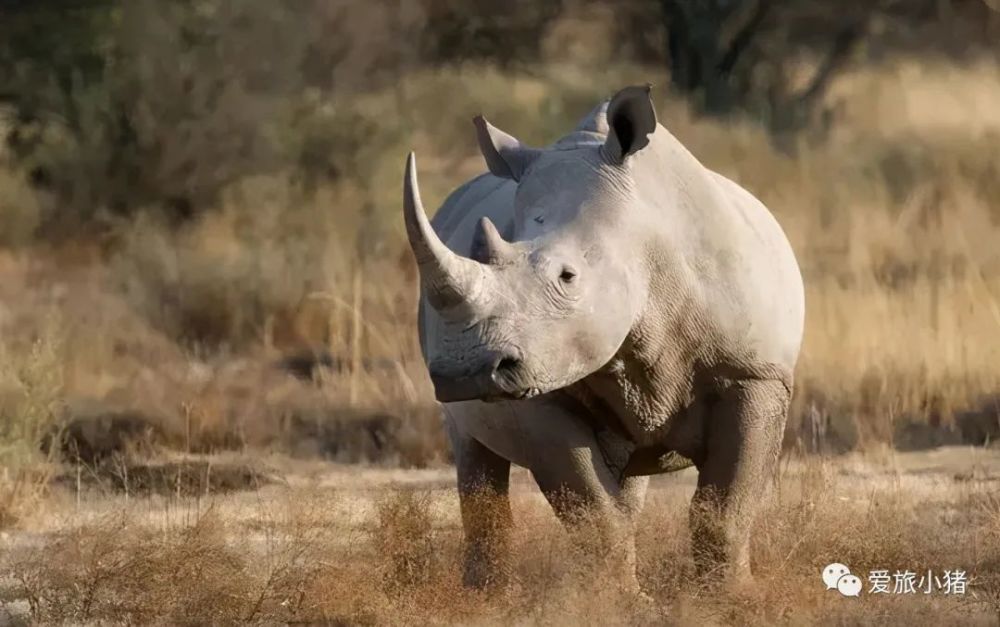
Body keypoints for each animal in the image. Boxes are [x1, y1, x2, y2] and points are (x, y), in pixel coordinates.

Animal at [402, 86, 800, 592]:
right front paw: (622, 600)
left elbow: (726, 505)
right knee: (474, 452)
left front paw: (730, 596)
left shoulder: (755, 373)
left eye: (567, 276)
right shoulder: (539, 388)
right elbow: (591, 508)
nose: (463, 373)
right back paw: (485, 595)